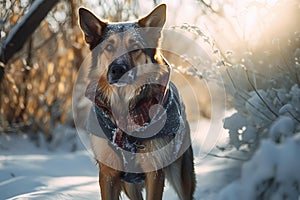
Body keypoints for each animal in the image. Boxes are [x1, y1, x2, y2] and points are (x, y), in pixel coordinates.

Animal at [78, 3, 196, 200]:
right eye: (109, 47)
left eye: (134, 47)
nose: (117, 70)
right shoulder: (108, 174)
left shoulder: (154, 172)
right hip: (129, 185)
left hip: (181, 176)